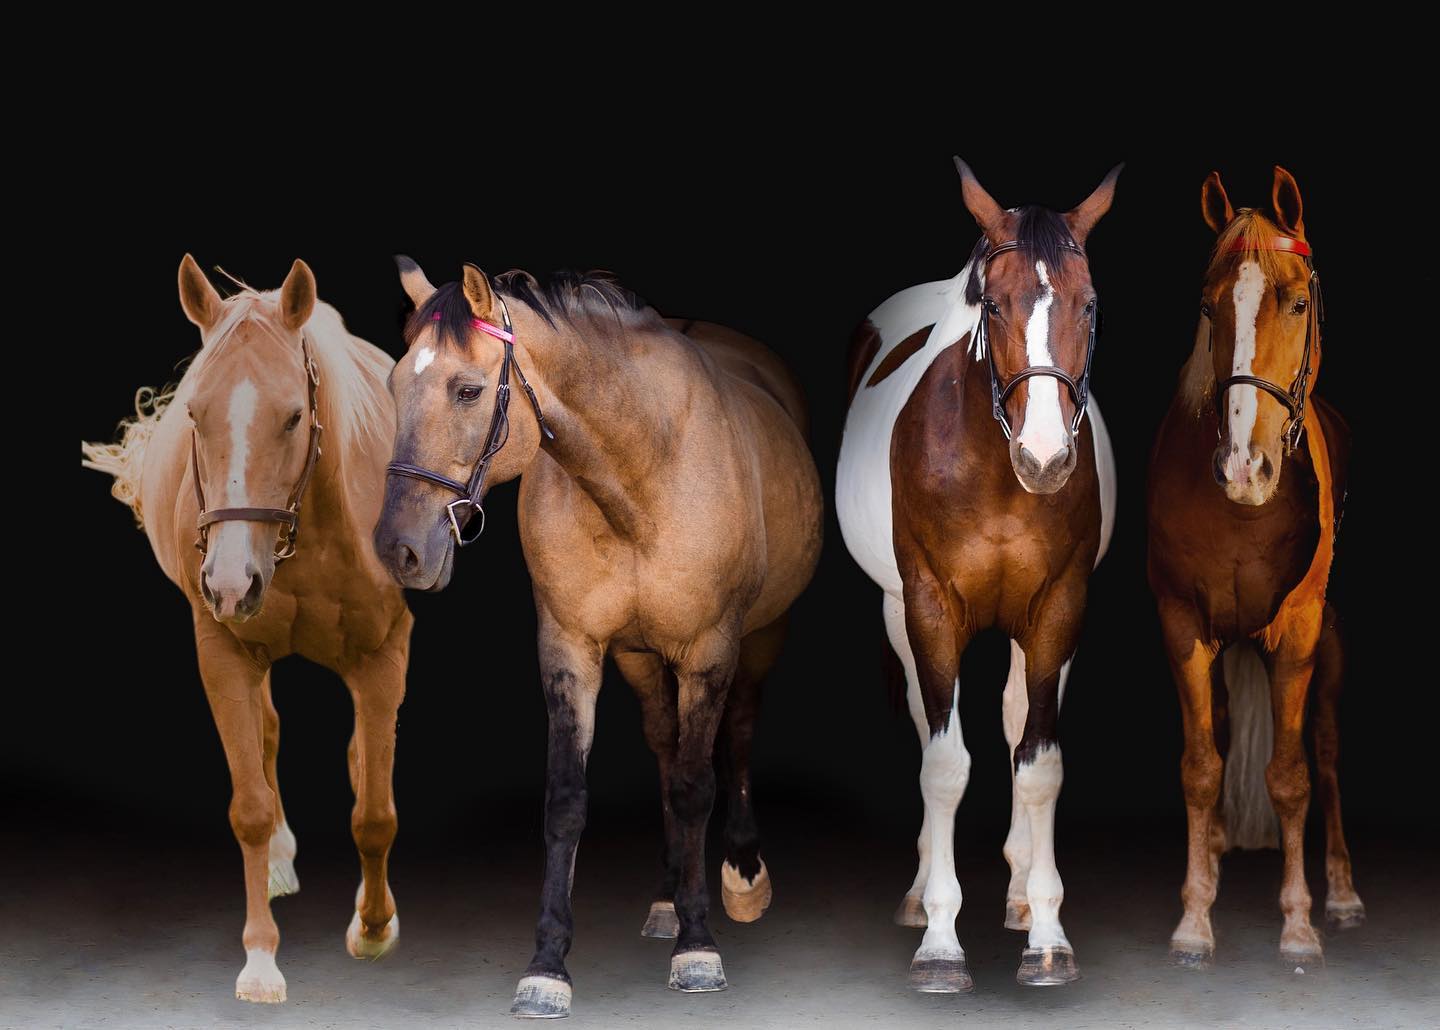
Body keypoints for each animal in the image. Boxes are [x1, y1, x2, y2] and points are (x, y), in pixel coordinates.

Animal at [80, 257, 412, 1003]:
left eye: (293, 417)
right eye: (194, 414)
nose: (232, 582)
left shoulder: (382, 655)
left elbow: (374, 810)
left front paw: (374, 929)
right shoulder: (224, 652)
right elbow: (251, 807)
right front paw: (261, 959)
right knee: (266, 736)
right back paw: (280, 864)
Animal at [373, 260, 823, 1018]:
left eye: (467, 390)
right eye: (394, 385)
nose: (398, 549)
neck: (641, 477)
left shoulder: (710, 651)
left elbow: (698, 786)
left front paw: (699, 948)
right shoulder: (571, 647)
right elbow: (569, 798)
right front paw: (548, 964)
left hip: (760, 638)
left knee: (733, 738)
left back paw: (741, 876)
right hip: (642, 660)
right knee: (668, 751)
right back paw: (668, 897)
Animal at [837, 158, 1121, 992]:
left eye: (1090, 304)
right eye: (993, 305)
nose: (1046, 458)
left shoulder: (1059, 607)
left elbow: (1039, 763)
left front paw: (1048, 933)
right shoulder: (930, 607)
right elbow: (944, 765)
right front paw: (939, 940)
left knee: (1017, 717)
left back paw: (1023, 894)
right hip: (898, 612)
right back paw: (918, 892)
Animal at [1146, 167, 1361, 971]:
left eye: (1297, 301)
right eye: (1209, 308)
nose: (1243, 467)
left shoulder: (1296, 630)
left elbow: (1291, 777)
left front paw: (1298, 924)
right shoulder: (1182, 625)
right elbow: (1202, 768)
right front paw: (1193, 918)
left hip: (1326, 646)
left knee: (1324, 754)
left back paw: (1342, 894)